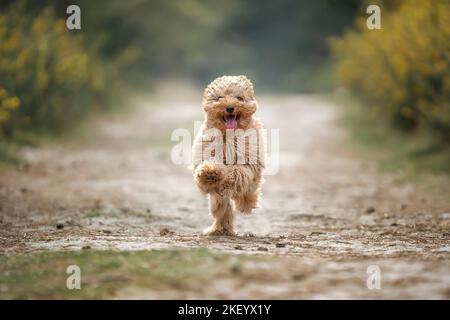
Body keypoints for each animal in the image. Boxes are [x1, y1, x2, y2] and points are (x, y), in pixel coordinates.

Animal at [191, 75, 264, 235]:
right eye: (219, 98)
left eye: (239, 97)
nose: (230, 108)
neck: (228, 135)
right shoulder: (207, 151)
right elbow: (210, 167)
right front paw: (209, 173)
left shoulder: (248, 159)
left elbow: (238, 172)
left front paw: (227, 182)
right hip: (217, 201)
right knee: (221, 208)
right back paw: (220, 228)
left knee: (248, 192)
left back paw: (245, 203)